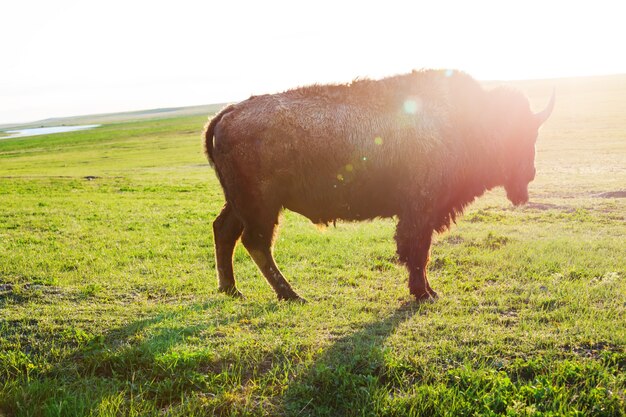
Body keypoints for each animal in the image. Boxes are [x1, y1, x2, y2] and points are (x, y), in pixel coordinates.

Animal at [204, 69, 552, 302]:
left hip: (241, 203)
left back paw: (232, 289)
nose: (529, 174)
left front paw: (427, 291)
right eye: (518, 134)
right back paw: (291, 295)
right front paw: (424, 293)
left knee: (225, 231)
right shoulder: (419, 211)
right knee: (255, 241)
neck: (465, 121)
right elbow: (417, 250)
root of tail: (227, 112)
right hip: (261, 205)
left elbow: (419, 251)